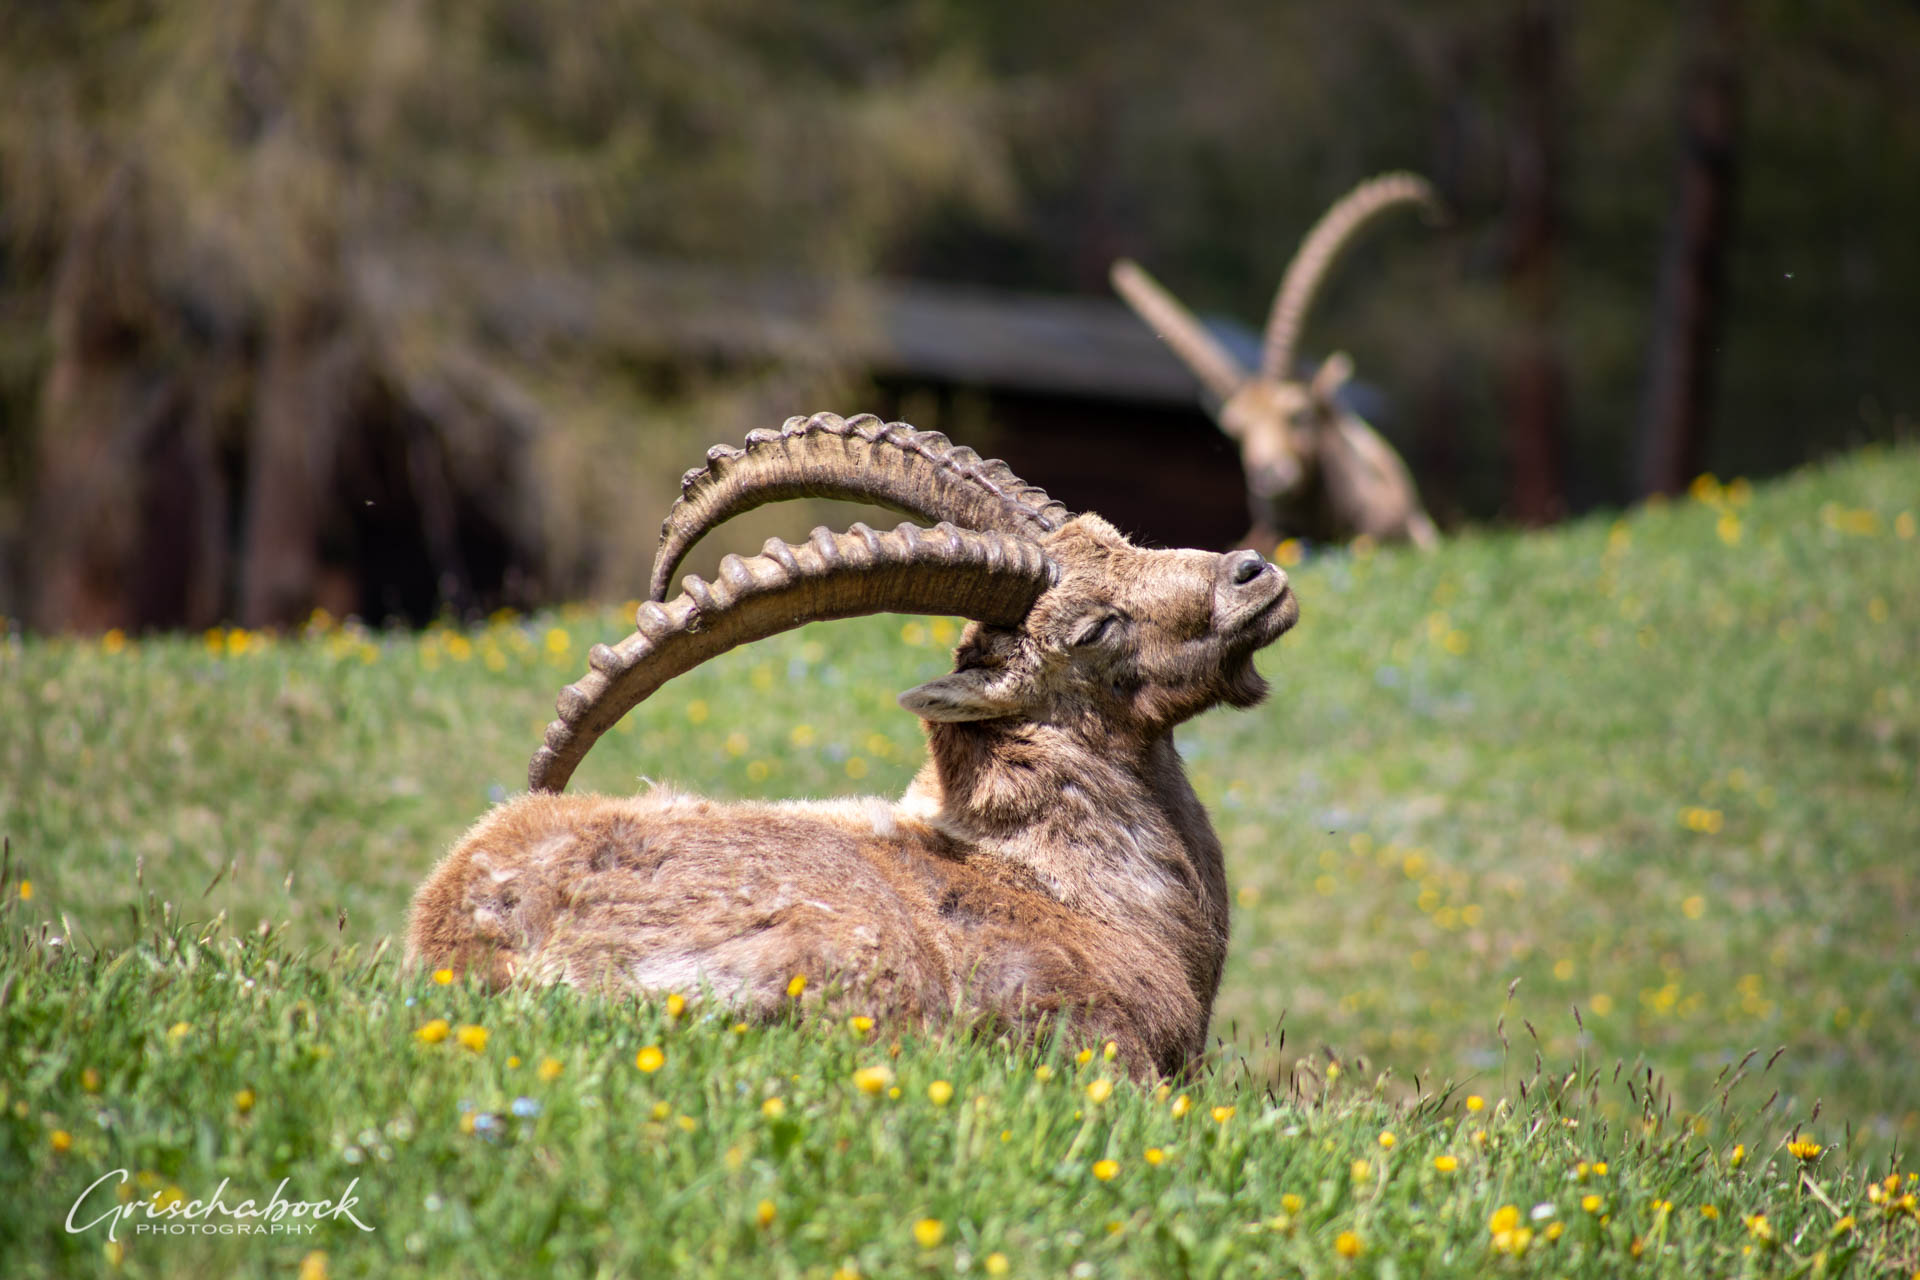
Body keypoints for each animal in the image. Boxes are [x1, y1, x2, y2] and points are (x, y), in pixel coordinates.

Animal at [407, 412, 1298, 1080]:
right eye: (1093, 629)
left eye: (1119, 536)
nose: (1256, 574)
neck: (1071, 884)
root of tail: (470, 930)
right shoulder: (1093, 1036)